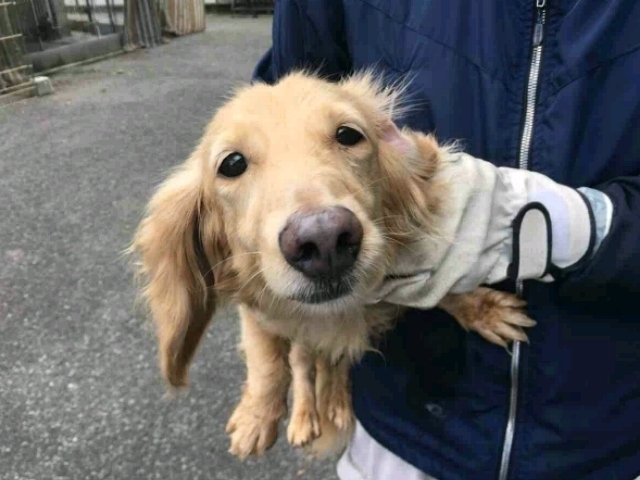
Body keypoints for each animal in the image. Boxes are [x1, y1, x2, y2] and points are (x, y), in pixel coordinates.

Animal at [129, 69, 535, 460]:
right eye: (232, 163)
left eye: (348, 134)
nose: (324, 240)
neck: (337, 313)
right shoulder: (260, 310)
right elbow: (269, 362)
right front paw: (256, 416)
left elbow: (439, 291)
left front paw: (483, 307)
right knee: (302, 362)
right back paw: (306, 414)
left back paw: (336, 401)